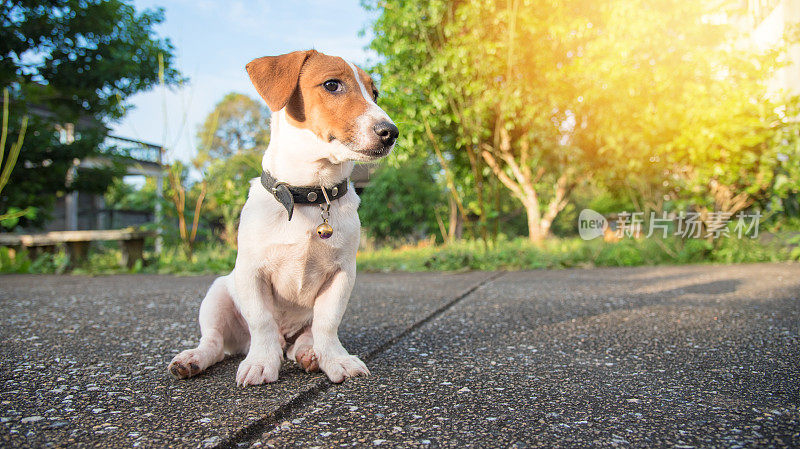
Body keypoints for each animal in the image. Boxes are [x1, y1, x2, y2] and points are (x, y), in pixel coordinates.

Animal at [167, 50, 398, 384]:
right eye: (332, 84)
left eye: (374, 93)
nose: (391, 132)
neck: (311, 193)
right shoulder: (251, 272)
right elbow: (262, 321)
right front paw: (261, 362)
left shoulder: (342, 274)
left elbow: (327, 323)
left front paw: (335, 359)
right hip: (217, 295)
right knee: (215, 341)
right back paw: (195, 359)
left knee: (305, 336)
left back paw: (307, 353)